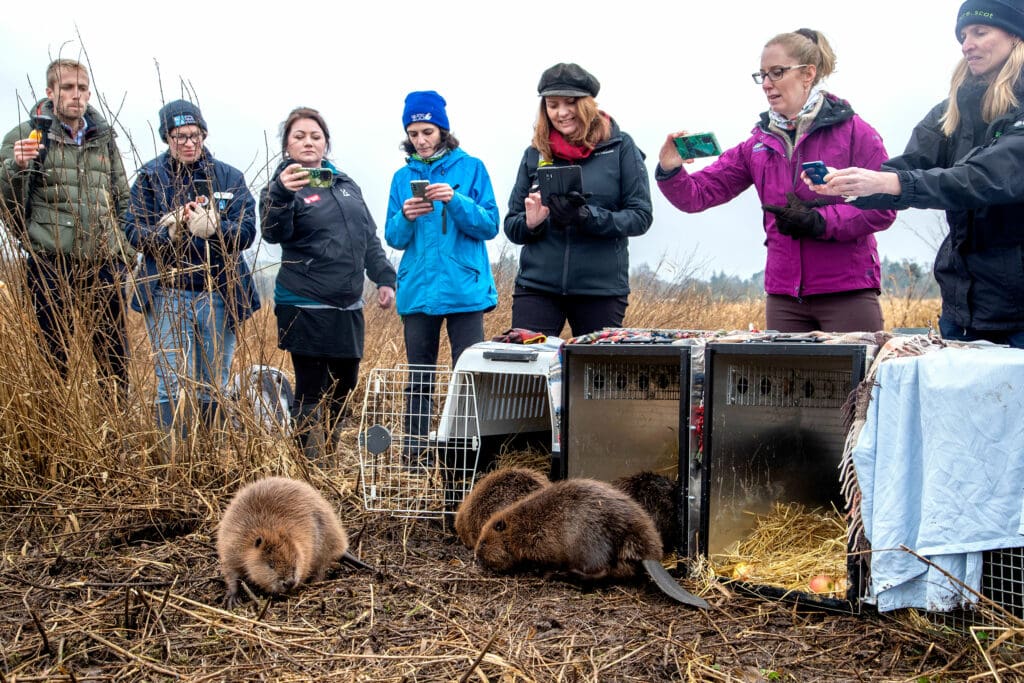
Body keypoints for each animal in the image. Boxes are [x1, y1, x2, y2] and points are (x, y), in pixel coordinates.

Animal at [212, 479, 364, 606]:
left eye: (295, 558)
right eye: (271, 564)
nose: (289, 582)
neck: (266, 529)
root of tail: (342, 546)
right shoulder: (232, 544)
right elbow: (231, 572)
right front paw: (232, 598)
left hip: (325, 540)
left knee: (322, 566)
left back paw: (314, 583)